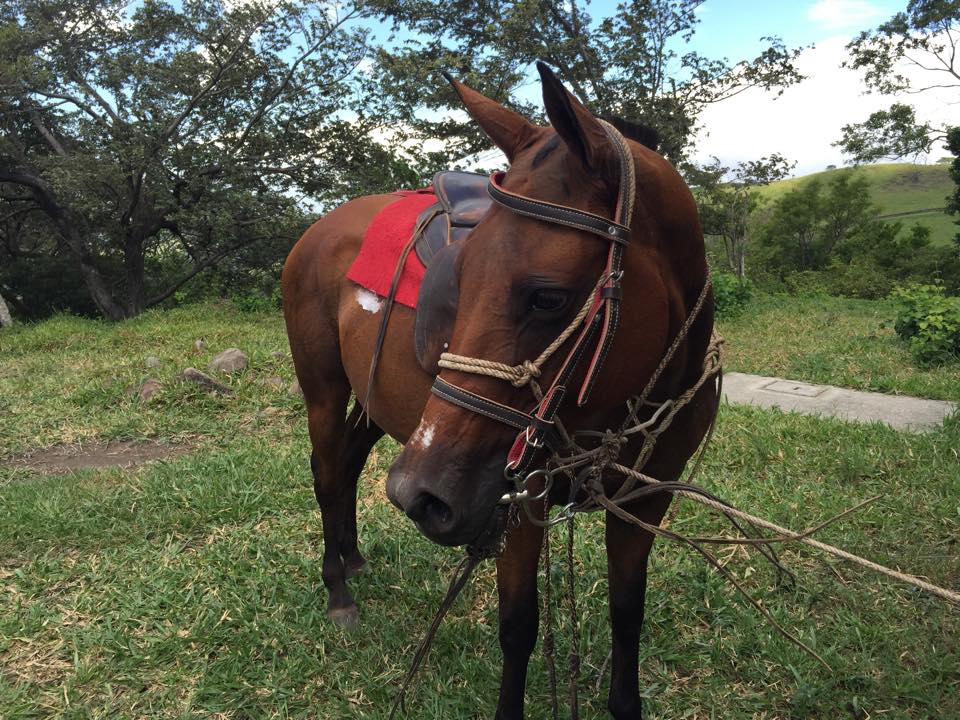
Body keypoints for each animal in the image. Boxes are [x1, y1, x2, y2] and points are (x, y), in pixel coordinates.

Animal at [282, 62, 719, 720]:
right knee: (329, 472)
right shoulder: (515, 497)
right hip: (327, 392)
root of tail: (318, 229)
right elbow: (519, 626)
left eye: (548, 297)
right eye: (459, 276)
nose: (420, 495)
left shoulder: (645, 500)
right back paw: (338, 590)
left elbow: (627, 612)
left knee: (349, 466)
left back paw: (352, 558)